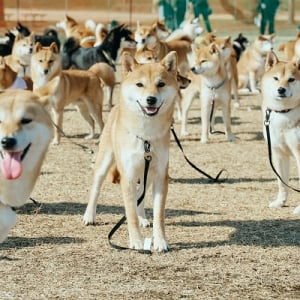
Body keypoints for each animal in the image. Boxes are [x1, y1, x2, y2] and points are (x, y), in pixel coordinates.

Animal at [83, 51, 179, 251]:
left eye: (161, 84)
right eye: (139, 84)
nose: (151, 99)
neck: (146, 137)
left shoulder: (160, 176)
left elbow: (158, 215)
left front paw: (160, 241)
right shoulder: (126, 175)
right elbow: (130, 213)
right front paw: (136, 241)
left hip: (147, 174)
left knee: (140, 196)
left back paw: (143, 218)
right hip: (105, 162)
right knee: (96, 188)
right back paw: (89, 216)